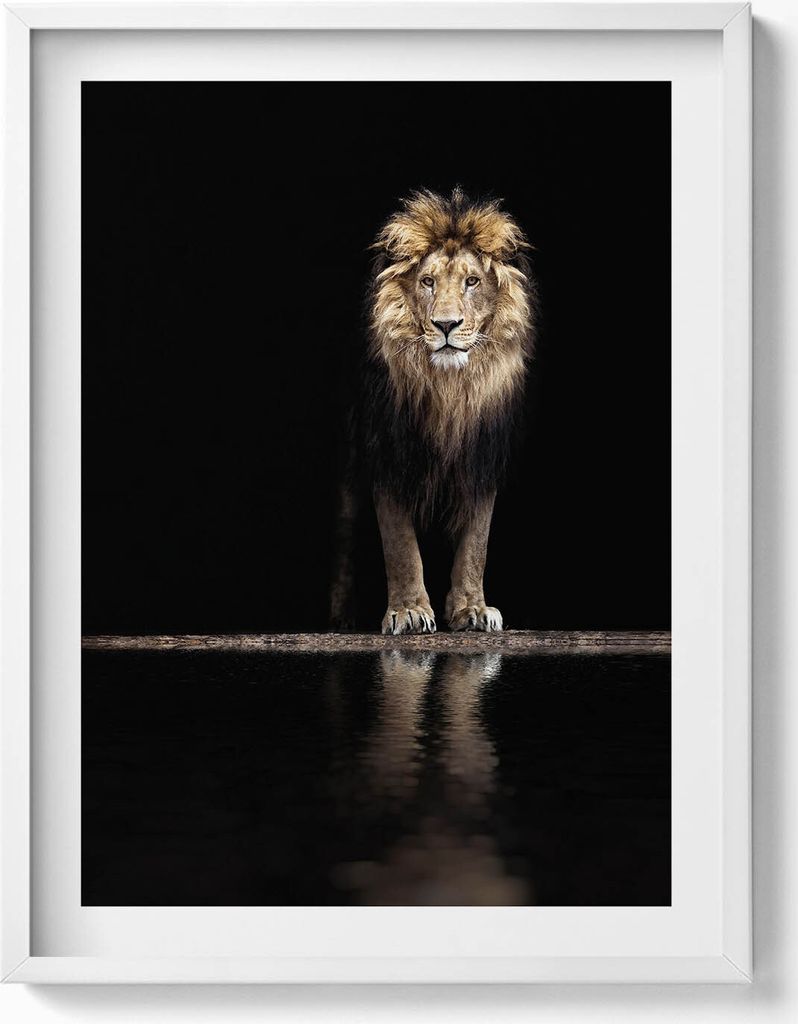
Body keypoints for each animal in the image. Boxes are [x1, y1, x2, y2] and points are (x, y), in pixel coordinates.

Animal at [355, 188, 536, 635]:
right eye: (428, 281)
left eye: (472, 281)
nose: (446, 324)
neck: (449, 390)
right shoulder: (389, 450)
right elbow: (400, 542)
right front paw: (408, 610)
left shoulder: (481, 456)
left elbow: (476, 542)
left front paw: (472, 609)